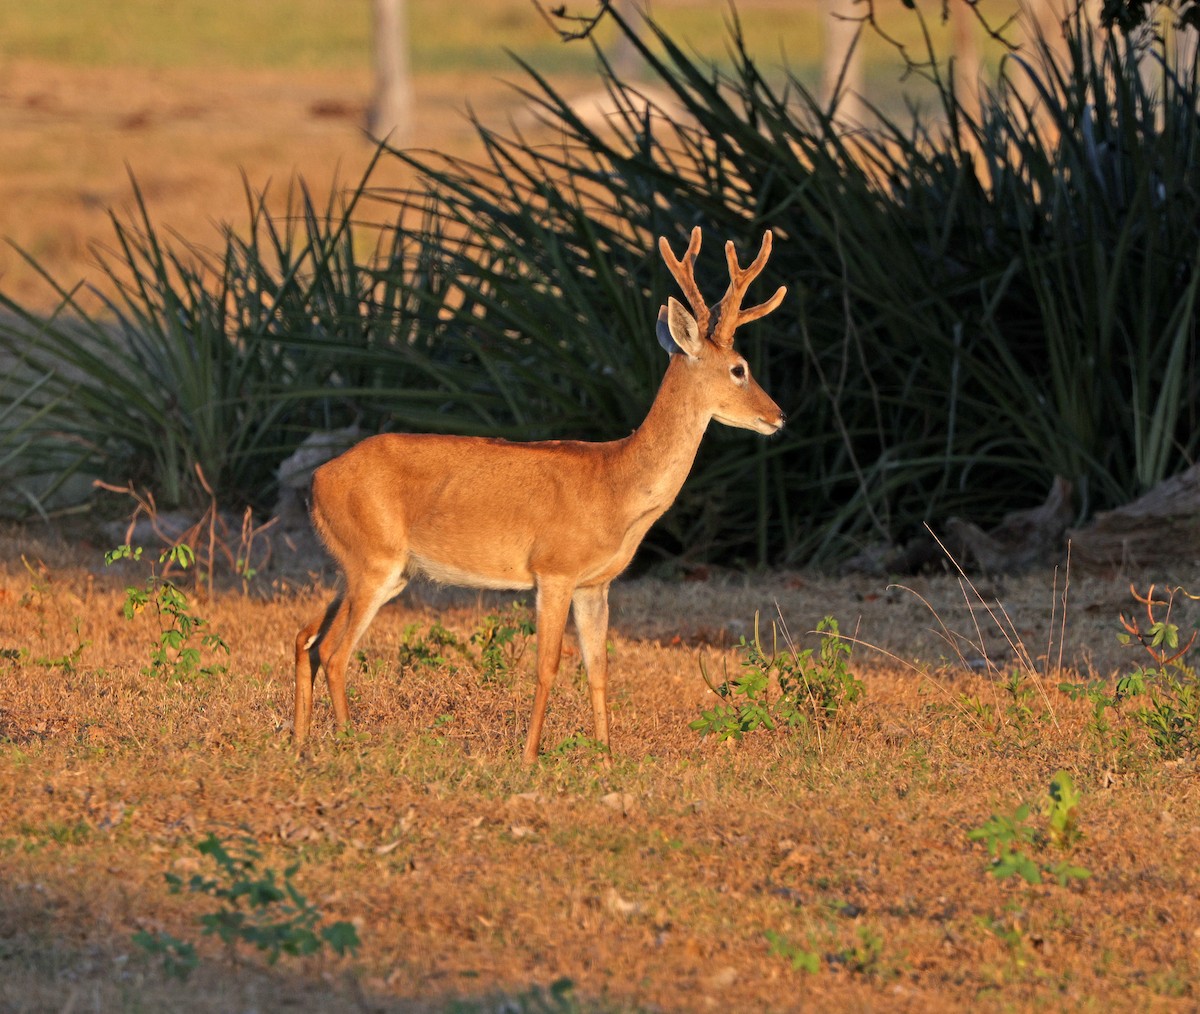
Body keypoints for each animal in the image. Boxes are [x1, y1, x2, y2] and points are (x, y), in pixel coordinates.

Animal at [294, 225, 786, 762]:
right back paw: (347, 741)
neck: (617, 485)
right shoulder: (554, 570)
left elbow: (599, 668)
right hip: (375, 561)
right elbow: (547, 665)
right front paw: (530, 757)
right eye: (739, 368)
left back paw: (298, 740)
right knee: (333, 651)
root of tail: (317, 481)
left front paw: (606, 757)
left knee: (305, 637)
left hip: (367, 566)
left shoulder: (595, 583)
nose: (779, 416)